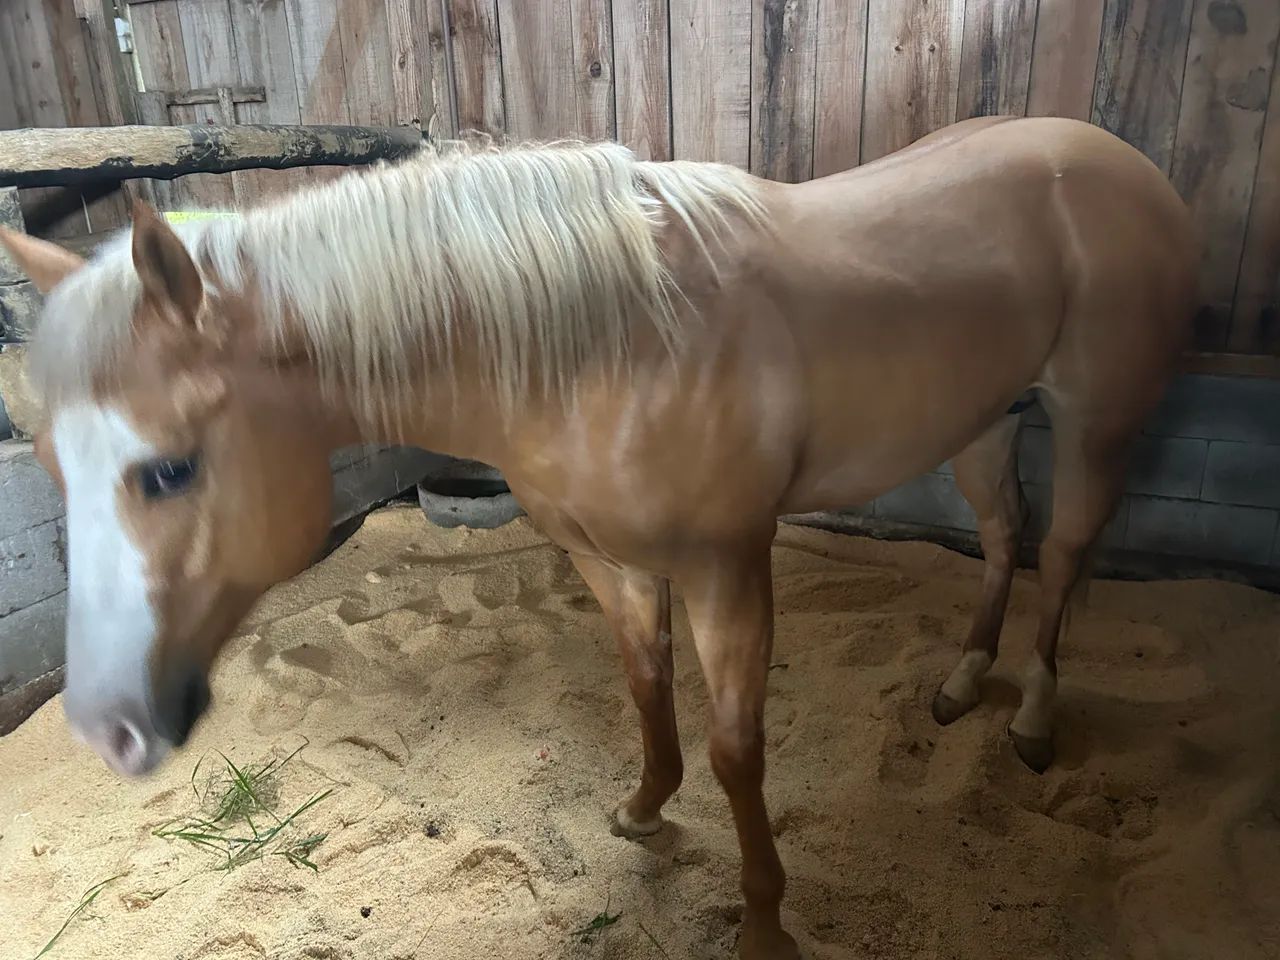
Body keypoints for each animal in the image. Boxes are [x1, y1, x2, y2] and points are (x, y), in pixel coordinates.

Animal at [0, 114, 1196, 960]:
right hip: (986, 421)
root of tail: (1113, 159)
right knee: (999, 537)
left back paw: (1030, 717)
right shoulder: (608, 560)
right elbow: (643, 687)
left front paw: (765, 925)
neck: (608, 344)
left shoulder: (727, 567)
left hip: (1093, 424)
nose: (104, 728)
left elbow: (737, 748)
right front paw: (642, 811)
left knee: (1060, 556)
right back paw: (959, 683)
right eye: (52, 461)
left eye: (169, 468)